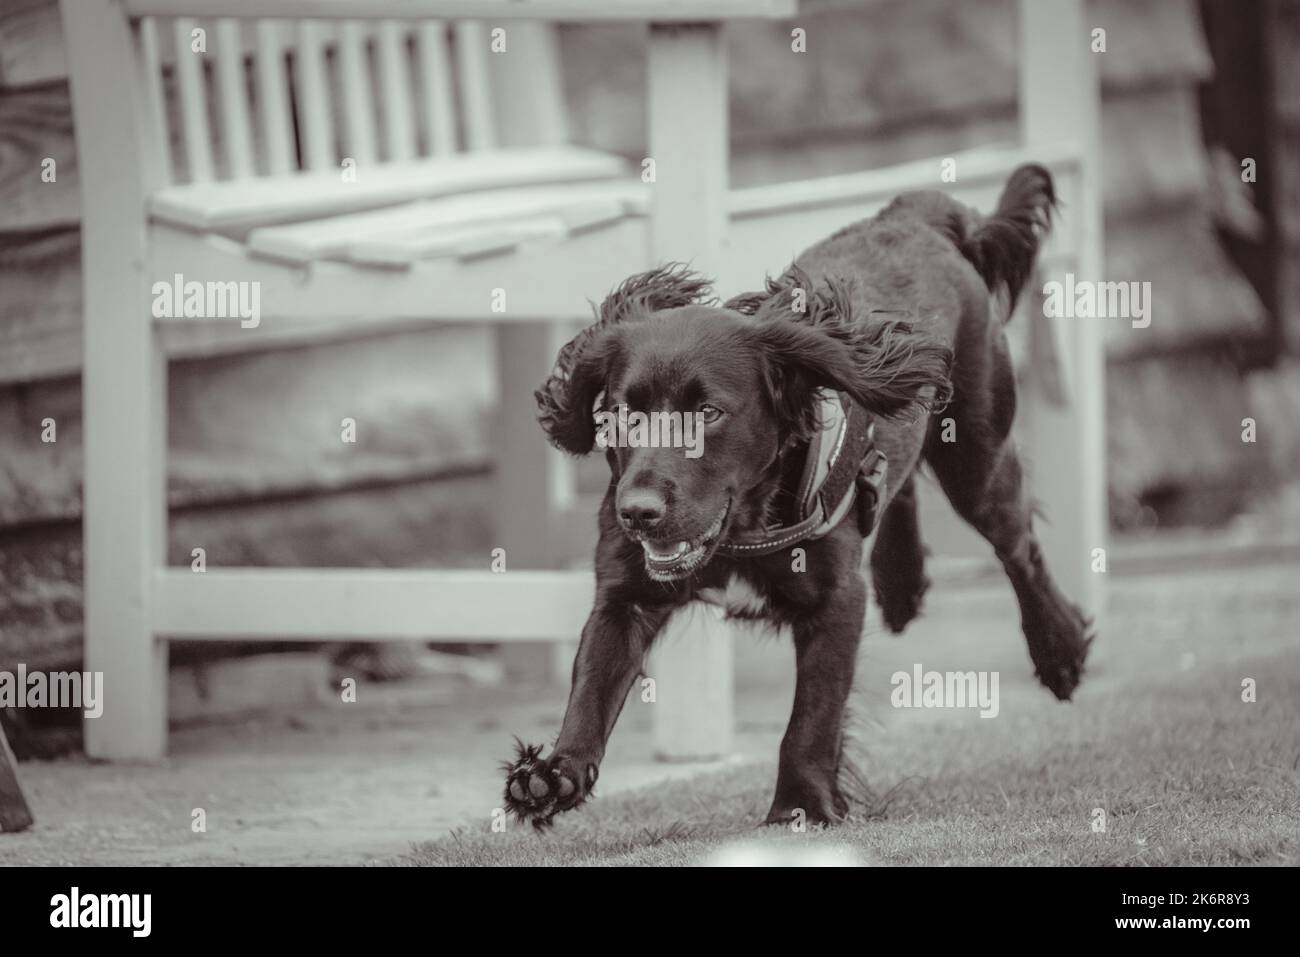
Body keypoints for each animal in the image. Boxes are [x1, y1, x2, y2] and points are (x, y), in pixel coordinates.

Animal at [501, 164, 1092, 832]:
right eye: (624, 414)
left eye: (709, 413)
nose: (639, 513)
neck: (740, 528)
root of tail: (913, 214)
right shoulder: (624, 591)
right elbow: (591, 687)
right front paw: (552, 776)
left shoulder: (836, 599)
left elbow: (811, 716)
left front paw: (802, 803)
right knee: (897, 483)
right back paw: (902, 580)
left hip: (978, 457)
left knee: (1019, 548)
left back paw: (1059, 650)